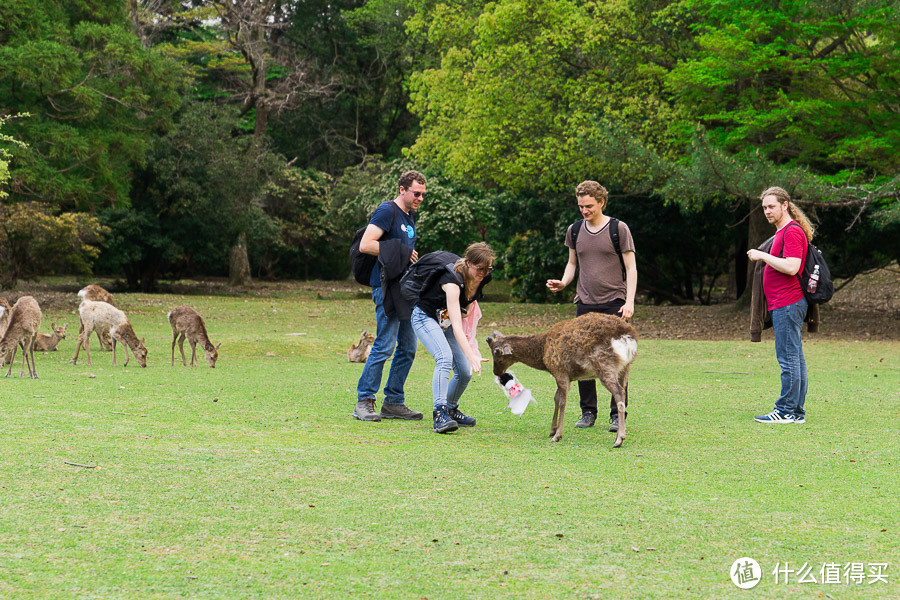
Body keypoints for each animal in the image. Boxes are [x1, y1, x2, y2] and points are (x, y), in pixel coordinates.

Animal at [486, 312, 640, 448]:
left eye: (496, 353)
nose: (496, 372)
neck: (542, 352)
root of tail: (627, 336)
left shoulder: (560, 370)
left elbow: (562, 401)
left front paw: (557, 436)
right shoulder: (566, 376)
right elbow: (556, 397)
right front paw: (552, 430)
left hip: (605, 364)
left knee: (618, 392)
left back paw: (619, 439)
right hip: (625, 368)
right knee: (623, 391)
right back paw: (617, 436)